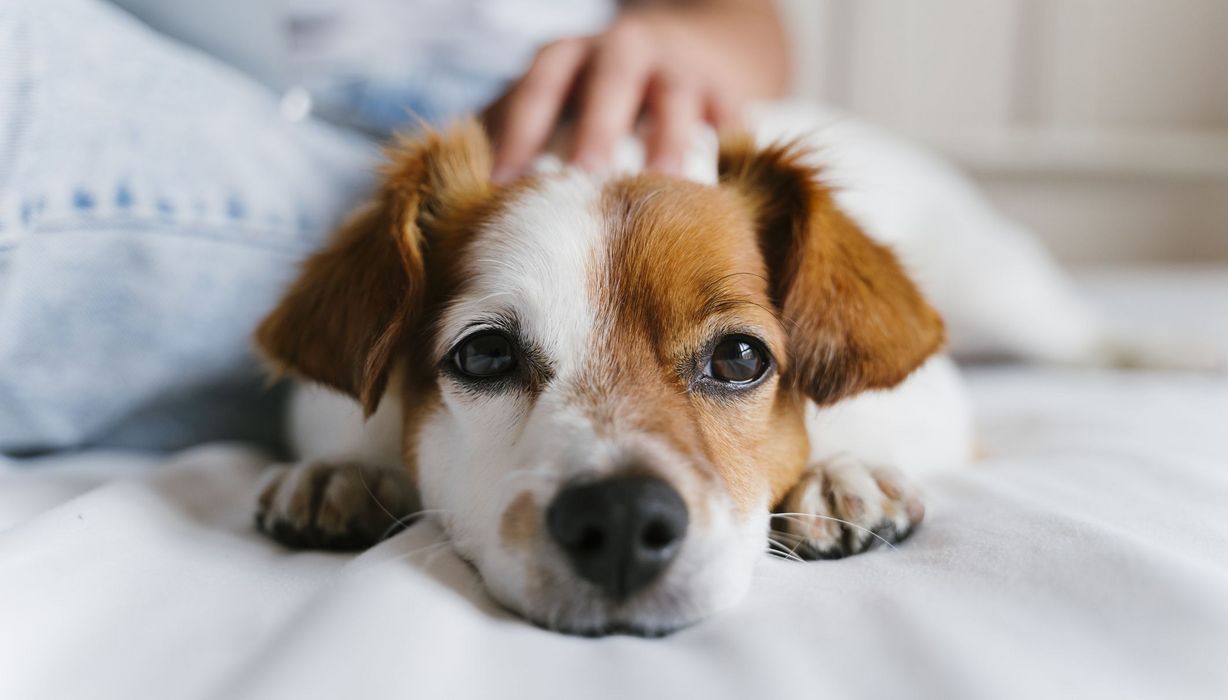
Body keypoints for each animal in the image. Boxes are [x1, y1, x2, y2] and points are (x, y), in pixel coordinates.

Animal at [246, 101, 1208, 633]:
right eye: (483, 353)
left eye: (741, 357)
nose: (620, 521)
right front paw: (345, 471)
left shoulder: (934, 396)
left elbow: (862, 410)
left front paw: (840, 471)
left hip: (1005, 295)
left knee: (1089, 338)